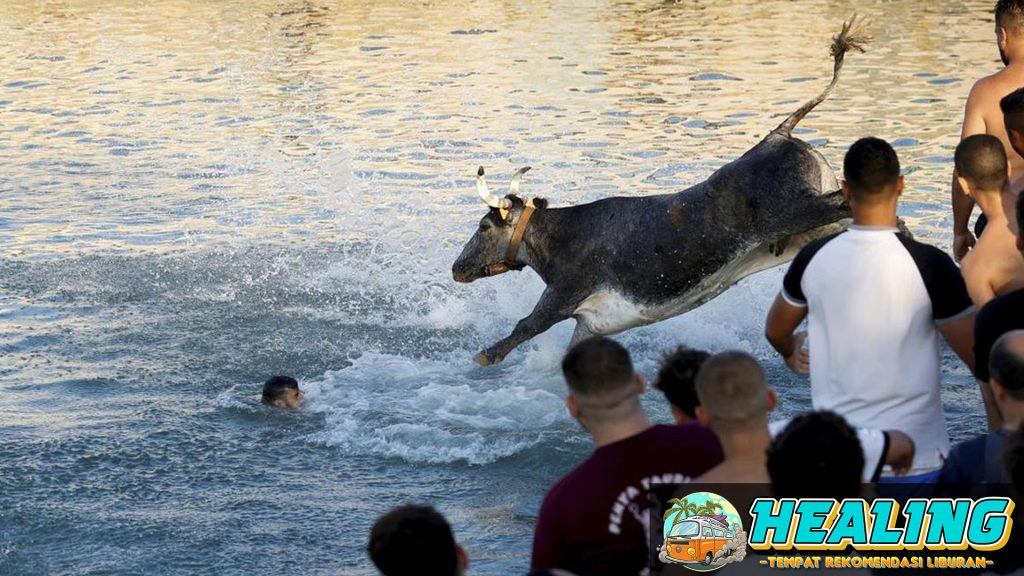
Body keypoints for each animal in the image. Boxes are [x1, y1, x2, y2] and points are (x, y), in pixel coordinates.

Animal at [452, 21, 868, 366]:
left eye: (484, 227)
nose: (457, 268)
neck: (560, 236)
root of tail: (778, 135)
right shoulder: (589, 324)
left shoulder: (563, 294)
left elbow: (526, 325)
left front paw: (485, 356)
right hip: (807, 227)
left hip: (798, 209)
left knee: (848, 202)